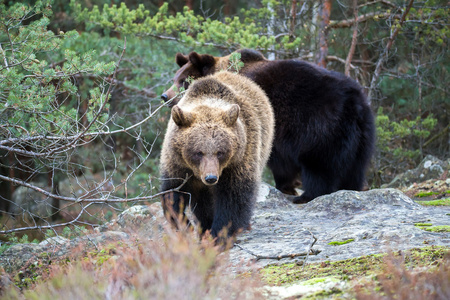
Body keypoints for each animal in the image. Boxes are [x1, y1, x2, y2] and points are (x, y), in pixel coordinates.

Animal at [160, 70, 276, 239]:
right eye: (198, 152)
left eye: (220, 152)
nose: (211, 178)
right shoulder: (177, 163)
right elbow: (172, 194)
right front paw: (187, 226)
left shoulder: (239, 160)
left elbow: (234, 198)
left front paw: (218, 234)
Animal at [162, 49, 376, 204]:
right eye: (175, 78)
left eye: (184, 81)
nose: (165, 96)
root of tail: (353, 100)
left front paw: (286, 186)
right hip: (361, 135)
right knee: (355, 168)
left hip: (319, 126)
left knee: (319, 165)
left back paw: (307, 196)